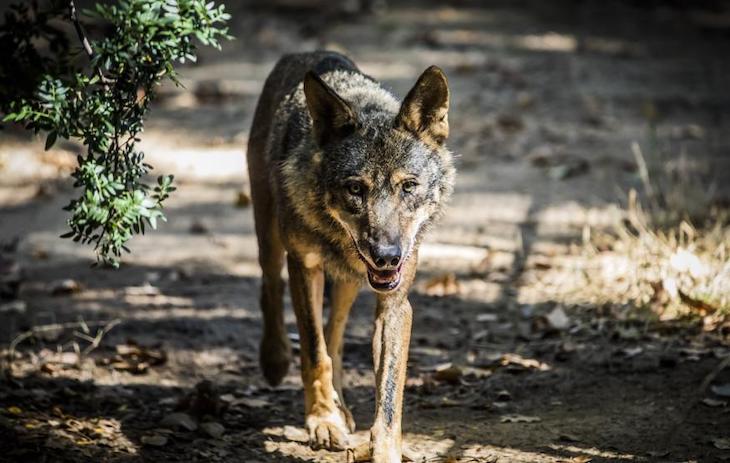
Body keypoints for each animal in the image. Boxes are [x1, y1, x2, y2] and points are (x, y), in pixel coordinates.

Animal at [246, 51, 454, 462]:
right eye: (355, 188)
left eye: (409, 186)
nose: (387, 256)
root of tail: (306, 53)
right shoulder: (304, 267)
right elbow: (314, 353)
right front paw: (323, 421)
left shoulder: (395, 303)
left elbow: (388, 395)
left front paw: (384, 450)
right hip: (271, 238)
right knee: (270, 288)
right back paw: (276, 359)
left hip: (347, 284)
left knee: (336, 333)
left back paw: (341, 405)